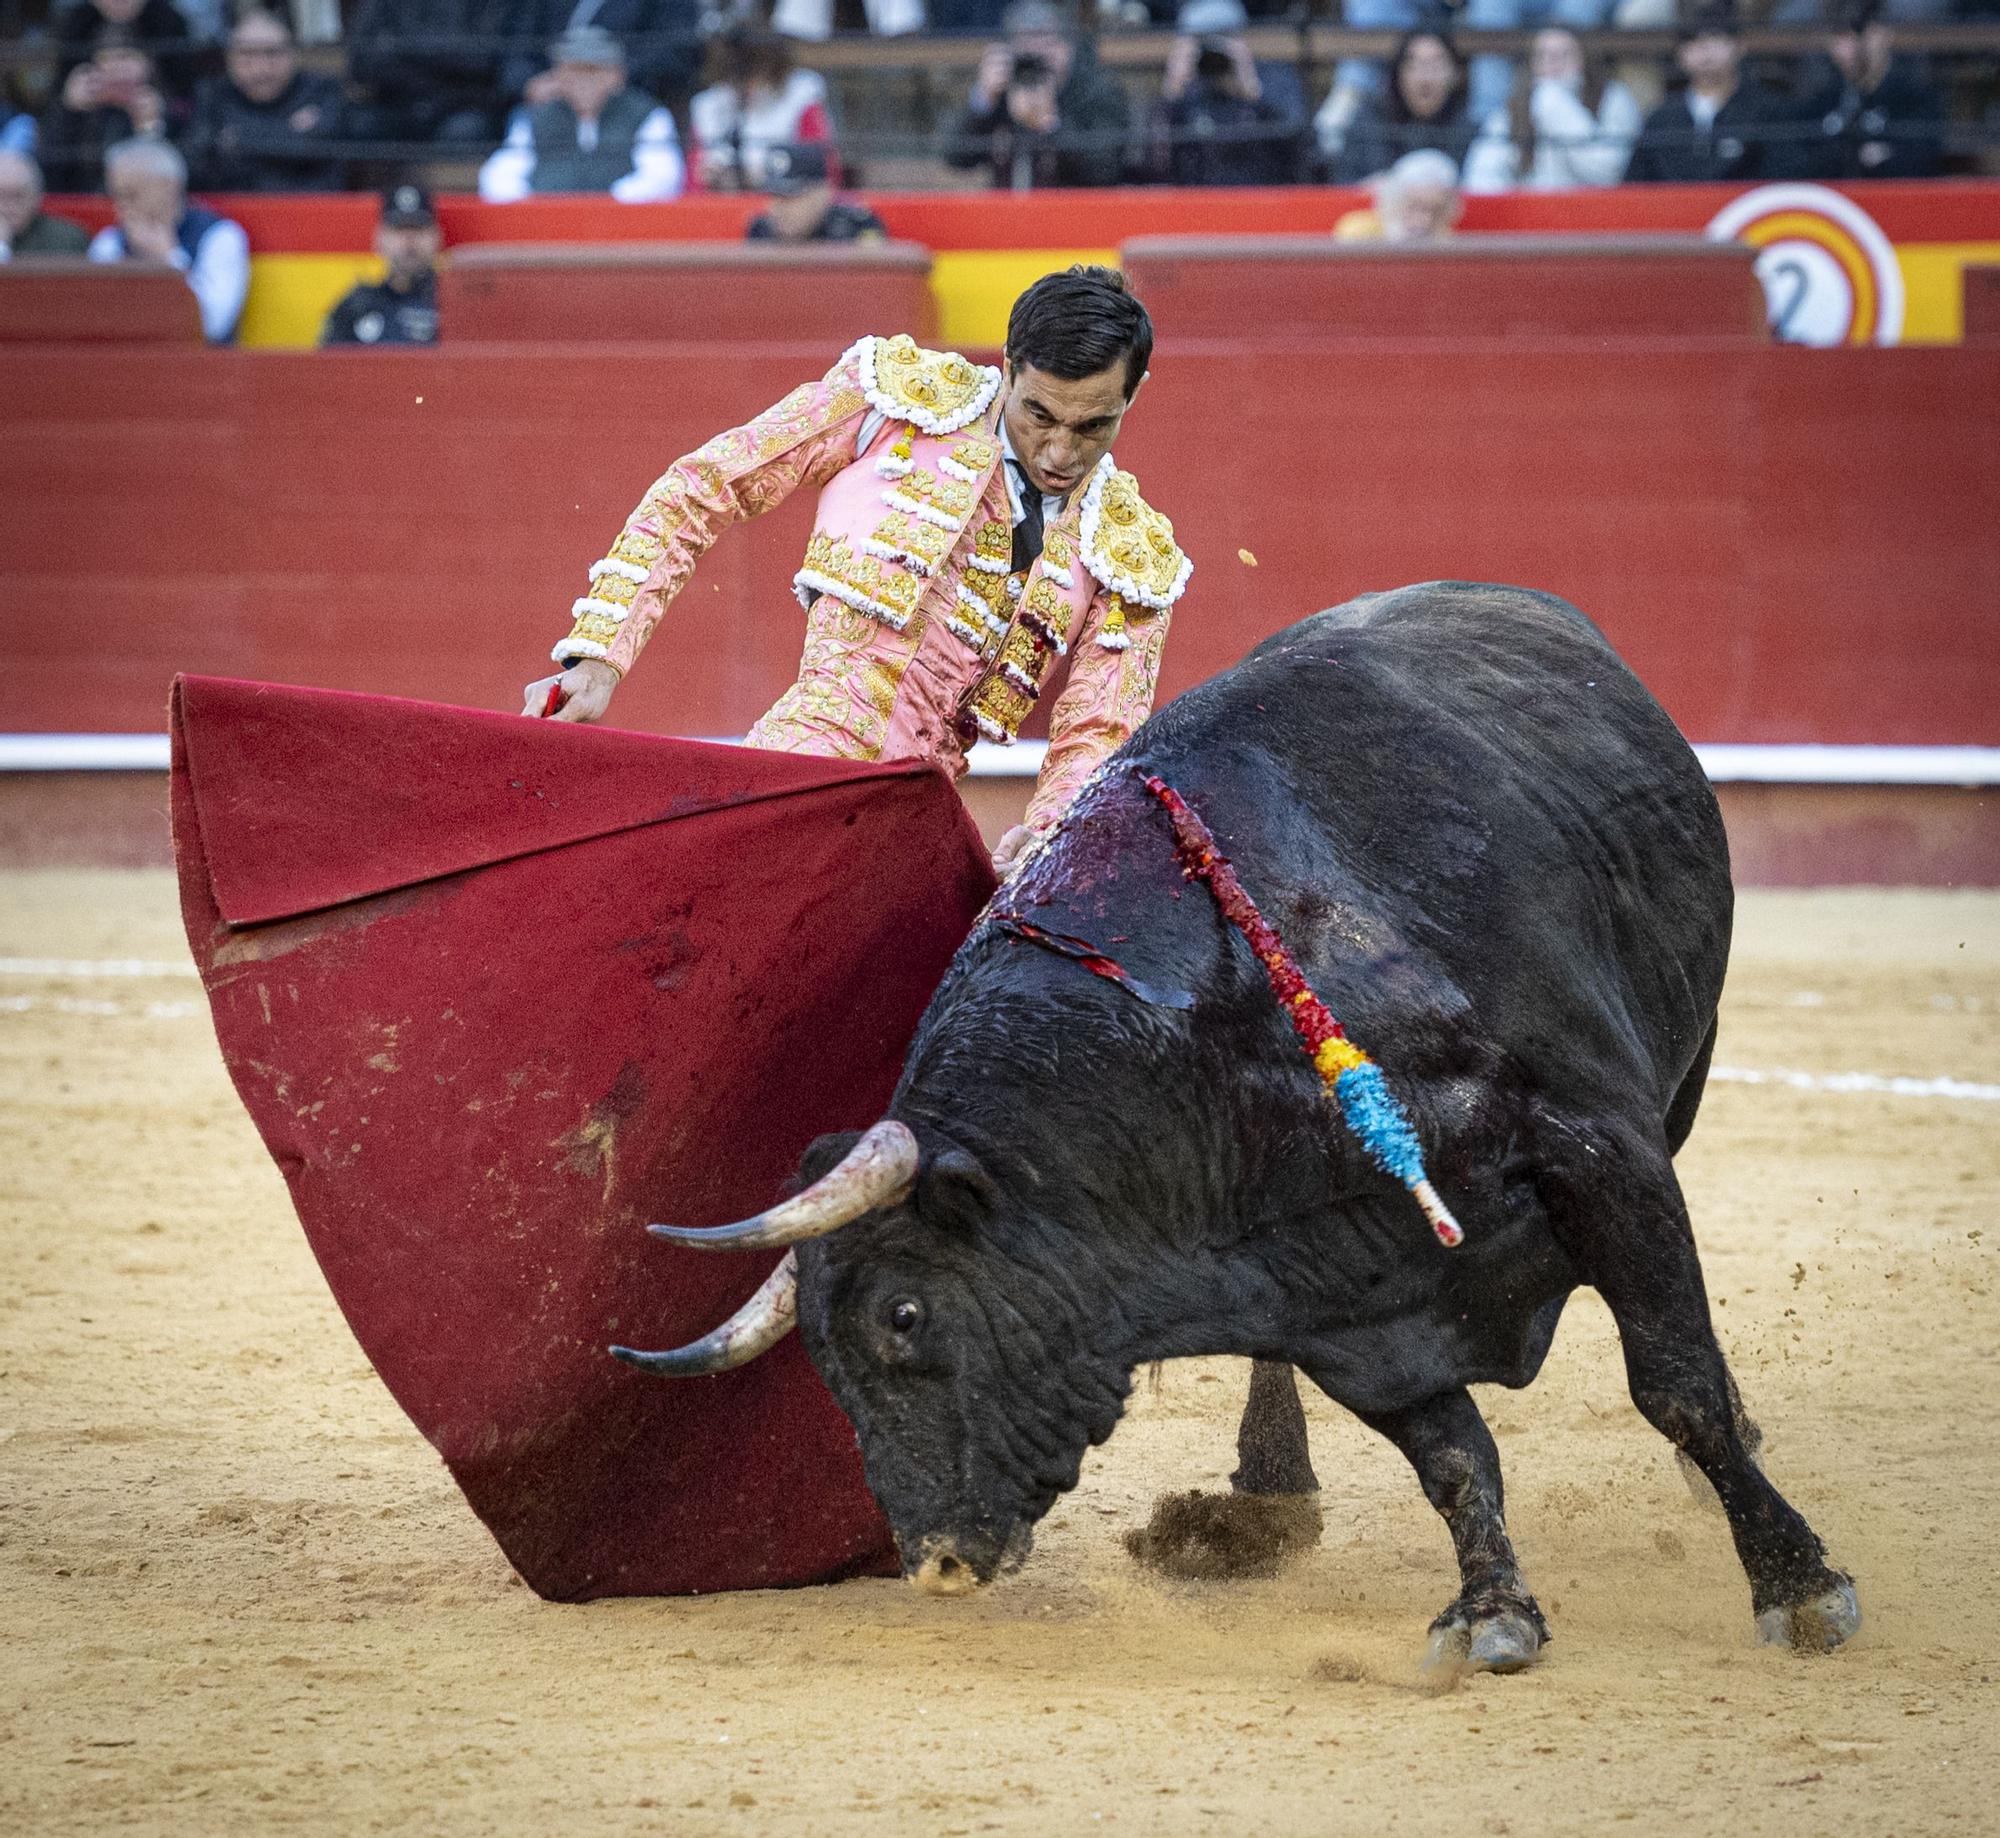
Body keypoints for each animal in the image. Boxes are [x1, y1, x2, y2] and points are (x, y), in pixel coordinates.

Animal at [620, 584, 1856, 1664]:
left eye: (905, 1312)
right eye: (823, 1360)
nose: (933, 1562)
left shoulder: (1599, 1143)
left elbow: (1675, 1384)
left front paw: (1799, 1588)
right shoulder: (1341, 1298)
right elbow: (1452, 1455)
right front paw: (1492, 1612)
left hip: (1681, 1082)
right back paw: (1267, 1497)